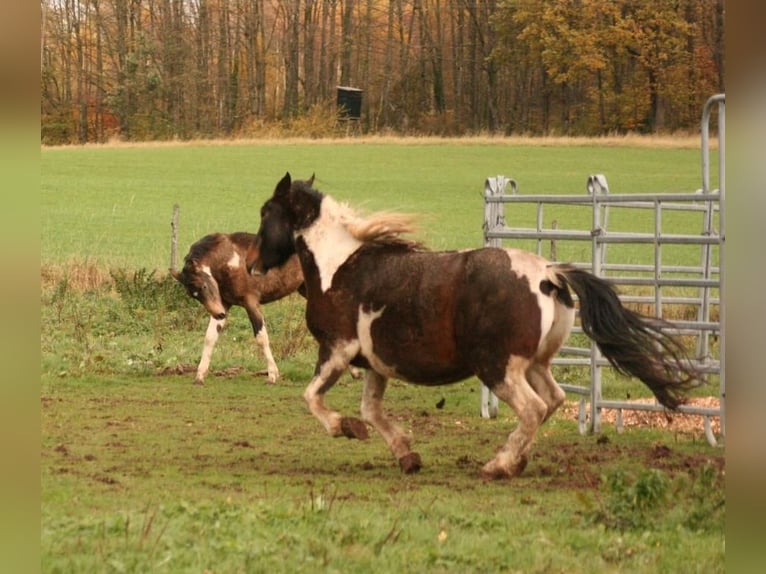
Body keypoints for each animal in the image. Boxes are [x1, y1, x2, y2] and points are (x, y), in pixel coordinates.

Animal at [171, 232, 304, 385]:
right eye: (192, 295)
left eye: (203, 286)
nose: (218, 314)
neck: (229, 261)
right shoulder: (224, 304)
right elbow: (210, 337)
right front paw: (199, 377)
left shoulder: (251, 302)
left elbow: (261, 337)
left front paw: (272, 376)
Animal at [251, 172, 701, 479]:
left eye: (265, 213)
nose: (255, 265)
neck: (339, 267)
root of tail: (549, 274)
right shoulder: (375, 363)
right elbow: (372, 410)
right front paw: (405, 454)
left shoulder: (337, 350)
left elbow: (312, 397)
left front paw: (345, 428)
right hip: (534, 365)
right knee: (552, 401)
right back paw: (517, 460)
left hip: (498, 368)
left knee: (533, 408)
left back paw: (499, 465)